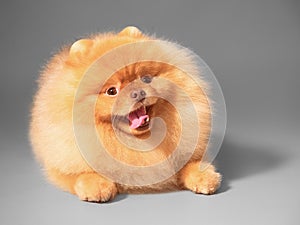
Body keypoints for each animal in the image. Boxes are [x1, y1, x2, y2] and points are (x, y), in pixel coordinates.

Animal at [30, 26, 221, 202]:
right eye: (112, 91)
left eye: (145, 78)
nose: (137, 93)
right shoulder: (62, 162)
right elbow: (79, 173)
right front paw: (97, 186)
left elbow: (190, 164)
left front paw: (204, 177)